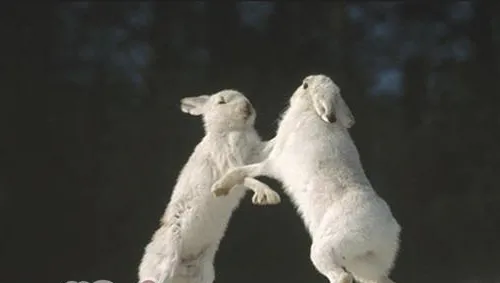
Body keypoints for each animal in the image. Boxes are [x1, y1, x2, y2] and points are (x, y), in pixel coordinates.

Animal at [140, 89, 282, 283]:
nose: (247, 106)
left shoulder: (254, 154)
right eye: (221, 102)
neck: (233, 129)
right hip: (167, 257)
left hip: (204, 270)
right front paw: (268, 195)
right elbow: (241, 177)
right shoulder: (228, 161)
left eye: (243, 96)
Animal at [212, 75, 402, 283]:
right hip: (361, 263)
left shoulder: (274, 162)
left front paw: (219, 187)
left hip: (327, 248)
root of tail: (386, 229)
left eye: (305, 86)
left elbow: (246, 170)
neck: (310, 110)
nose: (301, 85)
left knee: (340, 276)